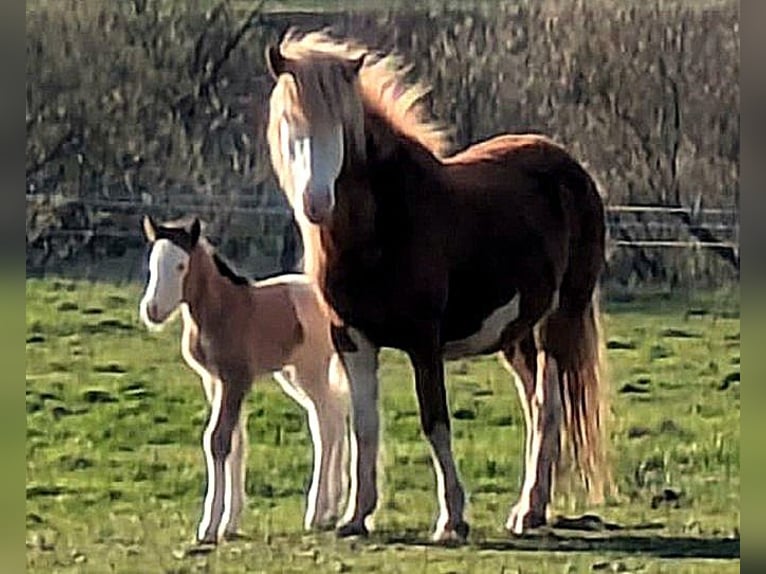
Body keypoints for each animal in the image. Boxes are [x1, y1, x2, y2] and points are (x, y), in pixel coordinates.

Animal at [138, 215, 348, 544]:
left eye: (181, 266)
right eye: (152, 264)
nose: (153, 311)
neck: (224, 311)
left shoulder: (236, 380)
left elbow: (217, 441)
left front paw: (209, 527)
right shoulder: (214, 382)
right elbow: (236, 443)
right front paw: (231, 522)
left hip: (311, 371)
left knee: (325, 428)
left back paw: (316, 513)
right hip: (292, 376)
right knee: (335, 419)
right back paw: (331, 509)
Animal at [264, 29, 610, 543]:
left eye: (341, 126)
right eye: (290, 122)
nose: (316, 202)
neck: (382, 227)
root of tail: (571, 168)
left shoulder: (424, 341)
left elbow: (435, 422)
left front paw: (452, 519)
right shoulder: (352, 341)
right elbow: (364, 426)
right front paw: (356, 515)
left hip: (560, 320)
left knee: (548, 407)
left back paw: (528, 510)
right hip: (517, 335)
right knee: (536, 409)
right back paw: (531, 508)